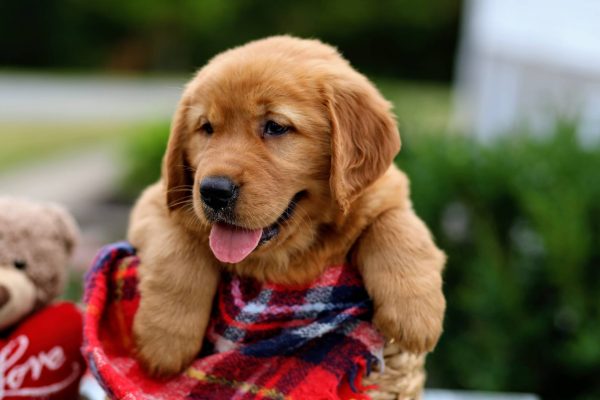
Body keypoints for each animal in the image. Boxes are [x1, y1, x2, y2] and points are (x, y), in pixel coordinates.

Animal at [129, 36, 448, 376]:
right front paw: (165, 341)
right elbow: (177, 252)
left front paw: (415, 316)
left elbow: (398, 227)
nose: (213, 192)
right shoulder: (157, 201)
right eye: (207, 128)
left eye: (275, 126)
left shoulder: (387, 192)